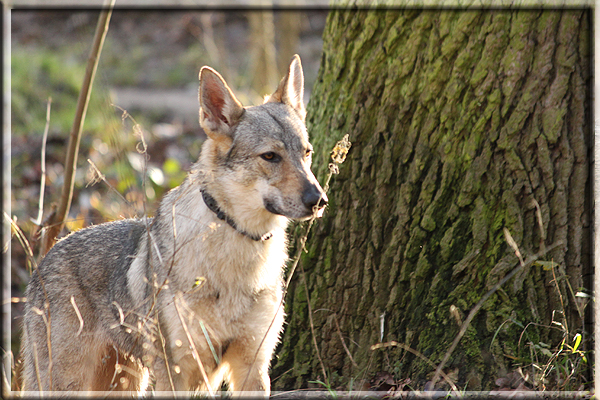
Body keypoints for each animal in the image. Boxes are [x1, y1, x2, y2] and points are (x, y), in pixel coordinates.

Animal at [19, 54, 328, 396]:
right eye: (270, 156)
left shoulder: (252, 367)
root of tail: (46, 255)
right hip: (72, 382)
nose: (319, 200)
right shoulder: (176, 371)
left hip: (126, 381)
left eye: (306, 153)